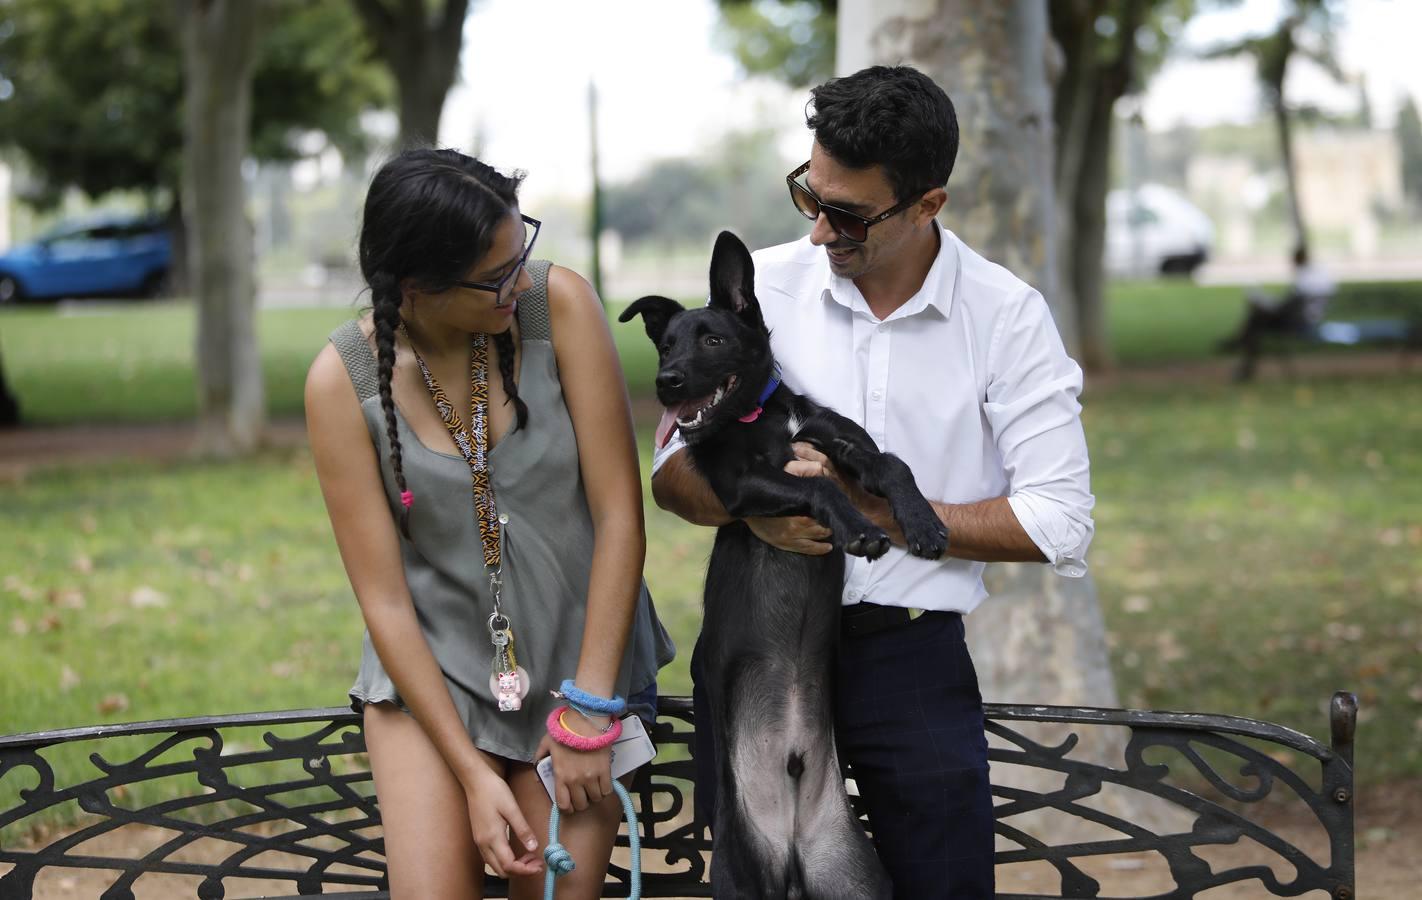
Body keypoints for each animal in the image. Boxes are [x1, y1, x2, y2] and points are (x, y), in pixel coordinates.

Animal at [619, 233, 944, 898]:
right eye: (665, 345)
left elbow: (893, 463)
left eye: (712, 340)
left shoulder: (844, 447)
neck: (759, 417)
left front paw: (921, 523)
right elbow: (819, 489)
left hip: (857, 879)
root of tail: (792, 841)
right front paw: (860, 529)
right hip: (742, 870)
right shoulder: (744, 486)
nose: (666, 382)